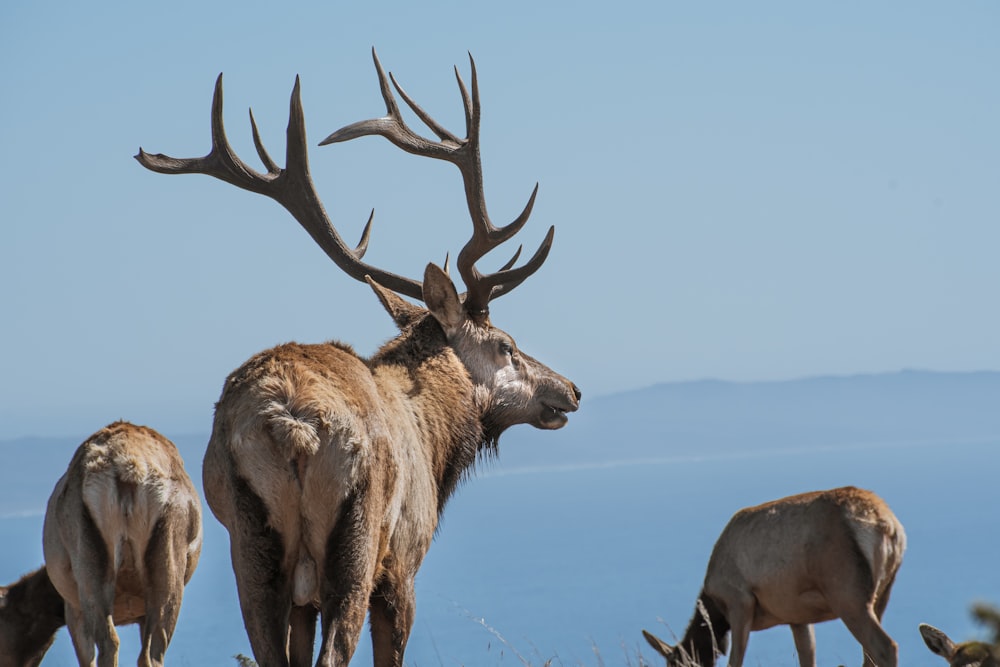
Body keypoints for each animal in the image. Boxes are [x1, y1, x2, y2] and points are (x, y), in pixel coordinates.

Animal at [41, 422, 201, 667]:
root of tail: (130, 469)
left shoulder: (73, 608)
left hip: (92, 571)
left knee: (114, 643)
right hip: (165, 567)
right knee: (147, 652)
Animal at [137, 51, 584, 667]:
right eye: (506, 346)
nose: (571, 389)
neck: (435, 438)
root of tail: (292, 424)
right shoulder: (403, 565)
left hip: (248, 547)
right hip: (357, 535)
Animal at [640, 486, 908, 667]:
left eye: (675, 665)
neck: (714, 606)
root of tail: (888, 525)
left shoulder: (740, 602)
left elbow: (735, 661)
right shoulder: (797, 616)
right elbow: (807, 659)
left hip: (847, 593)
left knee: (885, 646)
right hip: (883, 592)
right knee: (869, 654)